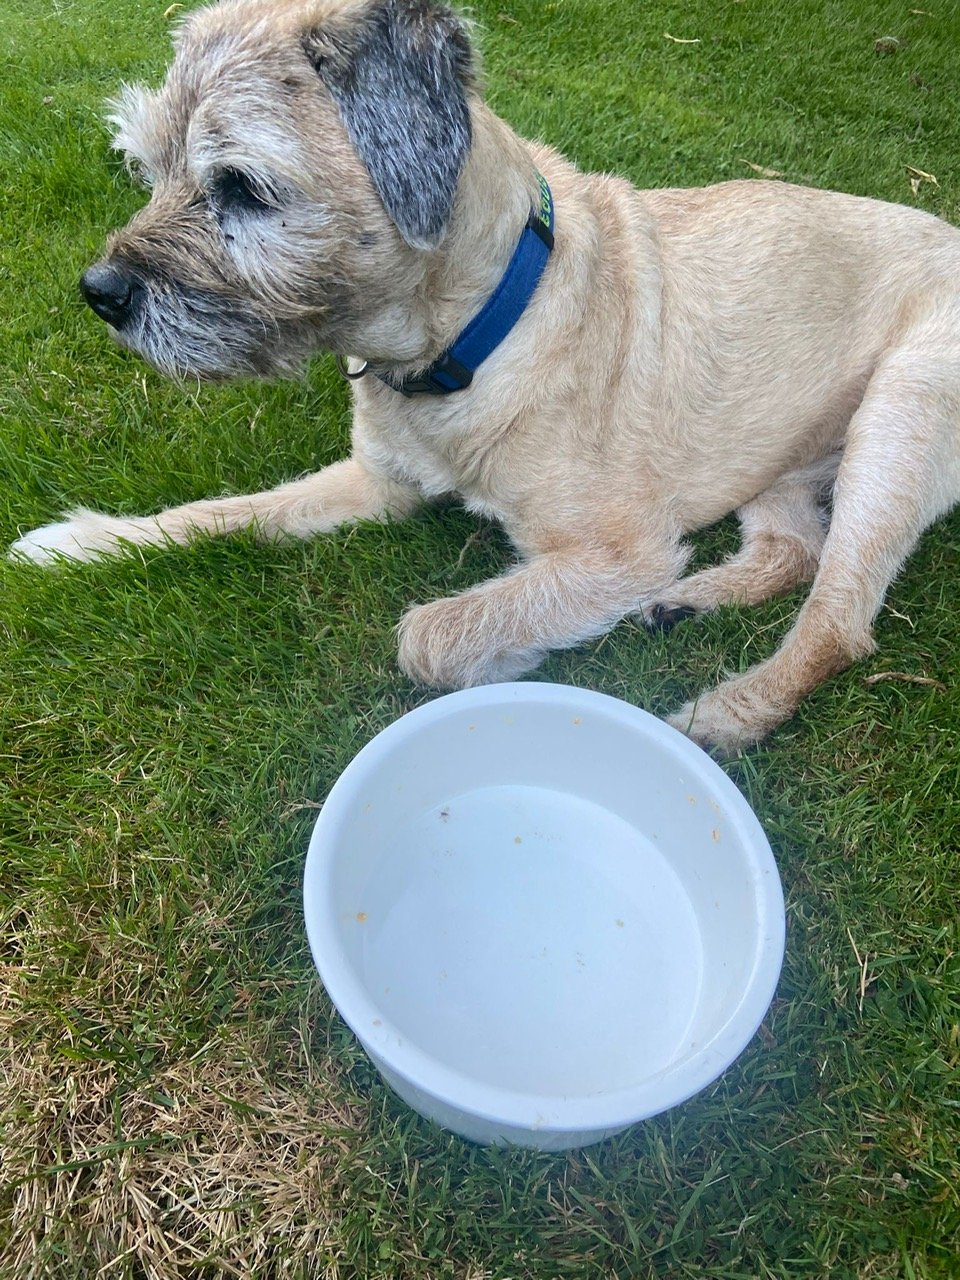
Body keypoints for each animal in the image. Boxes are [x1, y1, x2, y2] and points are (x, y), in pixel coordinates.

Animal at [9, 0, 960, 752]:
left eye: (242, 187)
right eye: (147, 167)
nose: (100, 293)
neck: (469, 339)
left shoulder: (616, 552)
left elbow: (430, 636)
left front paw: (503, 657)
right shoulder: (378, 482)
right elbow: (228, 512)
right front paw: (84, 543)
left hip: (900, 414)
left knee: (839, 622)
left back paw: (727, 713)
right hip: (780, 460)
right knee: (793, 551)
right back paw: (686, 601)